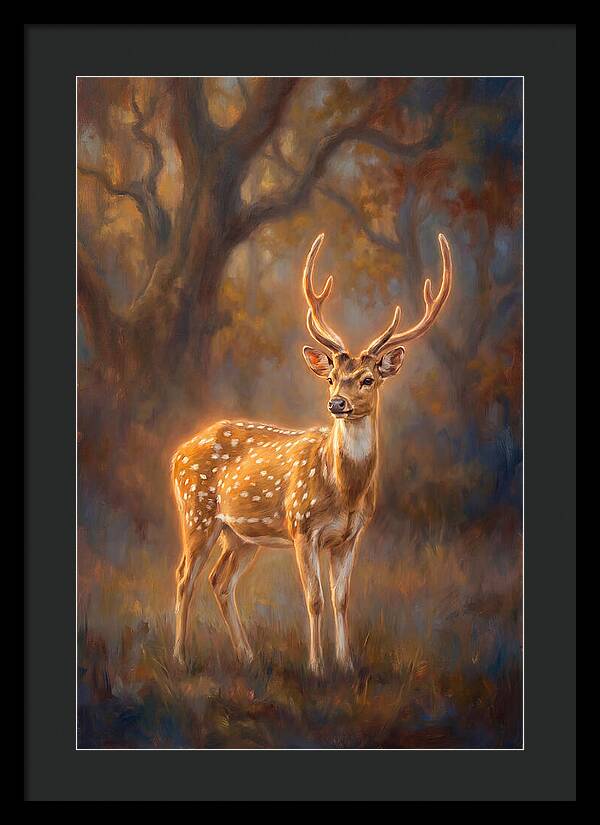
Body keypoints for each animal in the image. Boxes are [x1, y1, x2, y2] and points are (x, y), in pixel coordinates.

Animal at [171, 232, 452, 674]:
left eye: (368, 379)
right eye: (332, 377)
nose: (337, 403)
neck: (345, 490)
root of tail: (177, 453)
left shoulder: (350, 536)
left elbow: (341, 599)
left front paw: (347, 663)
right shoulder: (302, 528)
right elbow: (315, 599)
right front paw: (317, 667)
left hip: (240, 535)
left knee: (220, 580)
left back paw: (247, 656)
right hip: (196, 511)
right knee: (185, 576)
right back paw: (181, 657)